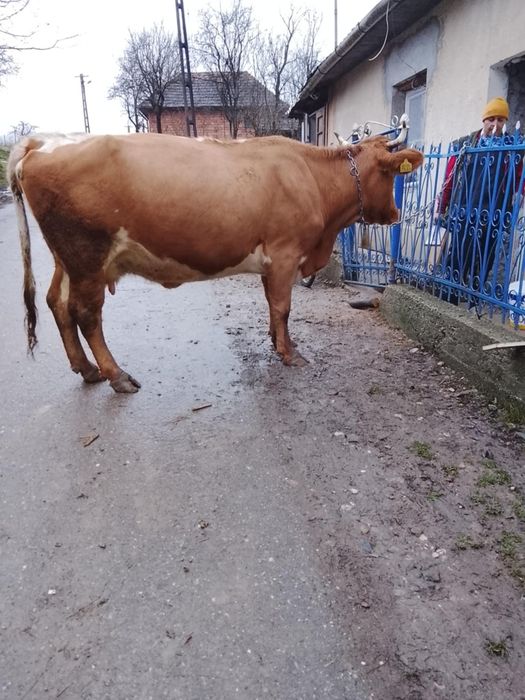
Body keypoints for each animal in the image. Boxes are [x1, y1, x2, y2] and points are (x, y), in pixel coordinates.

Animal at [8, 131, 423, 393]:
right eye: (390, 177)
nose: (395, 213)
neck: (311, 175)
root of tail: (43, 141)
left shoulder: (272, 261)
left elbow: (272, 306)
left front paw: (277, 342)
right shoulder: (286, 253)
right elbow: (284, 306)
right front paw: (290, 354)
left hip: (68, 260)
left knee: (57, 303)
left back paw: (87, 369)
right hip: (87, 255)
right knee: (86, 314)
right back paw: (117, 375)